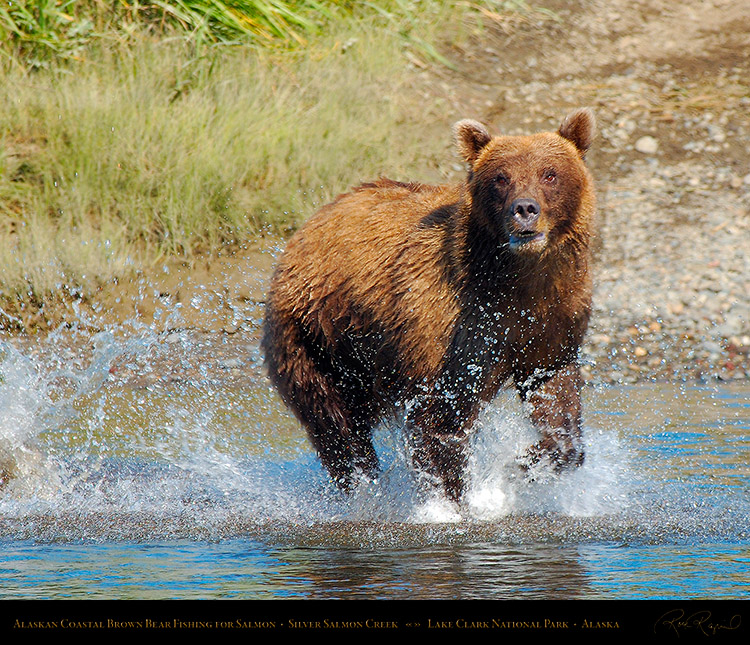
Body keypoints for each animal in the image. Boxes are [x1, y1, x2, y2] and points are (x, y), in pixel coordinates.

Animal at [264, 108, 600, 504]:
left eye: (550, 174)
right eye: (501, 178)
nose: (524, 209)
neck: (517, 279)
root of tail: (307, 227)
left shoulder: (553, 321)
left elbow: (555, 398)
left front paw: (520, 467)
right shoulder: (452, 320)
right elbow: (441, 418)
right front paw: (453, 500)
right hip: (316, 336)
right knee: (337, 426)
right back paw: (364, 488)